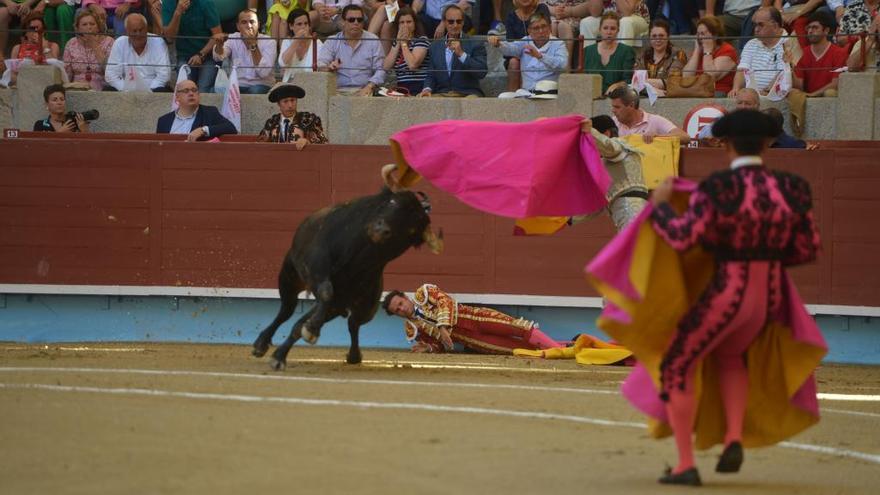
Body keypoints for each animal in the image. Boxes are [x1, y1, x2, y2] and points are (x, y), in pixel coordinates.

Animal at [256, 188, 446, 370]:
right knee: (286, 311)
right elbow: (325, 292)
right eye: (392, 202)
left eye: (412, 227)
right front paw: (305, 334)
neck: (357, 257)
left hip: (364, 308)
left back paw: (351, 354)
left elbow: (310, 320)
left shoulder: (340, 301)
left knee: (351, 323)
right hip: (289, 277)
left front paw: (309, 332)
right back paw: (261, 344)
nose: (381, 229)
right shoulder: (315, 270)